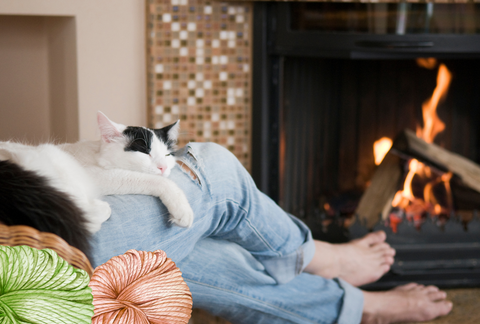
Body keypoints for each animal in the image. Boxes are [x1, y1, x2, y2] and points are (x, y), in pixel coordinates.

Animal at [0, 111, 195, 240]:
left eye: (168, 155)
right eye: (145, 153)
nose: (163, 167)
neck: (96, 153)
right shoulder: (98, 176)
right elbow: (155, 181)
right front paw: (183, 209)